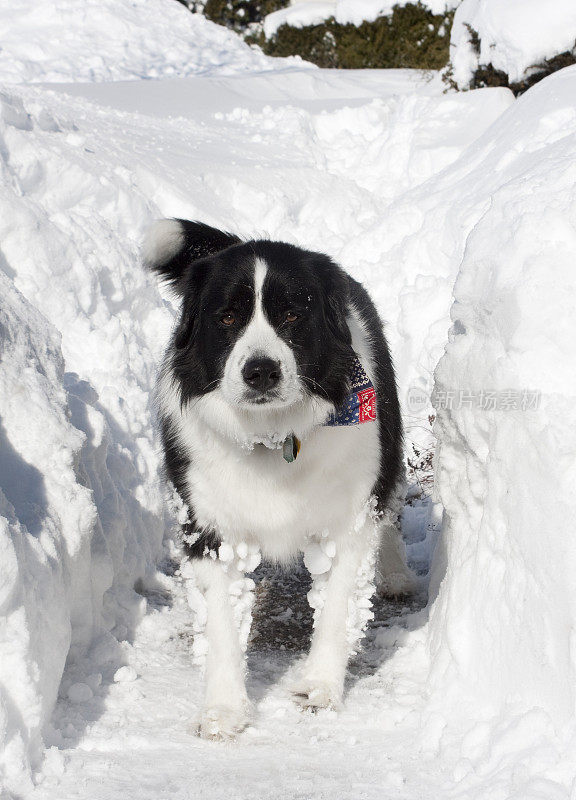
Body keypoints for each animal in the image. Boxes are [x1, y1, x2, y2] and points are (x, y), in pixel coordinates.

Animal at [143, 217, 414, 736]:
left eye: (292, 315)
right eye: (227, 318)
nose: (261, 371)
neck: (271, 438)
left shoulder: (349, 517)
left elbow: (336, 608)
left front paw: (318, 690)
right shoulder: (210, 526)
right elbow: (222, 623)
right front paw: (224, 711)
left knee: (389, 507)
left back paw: (396, 573)